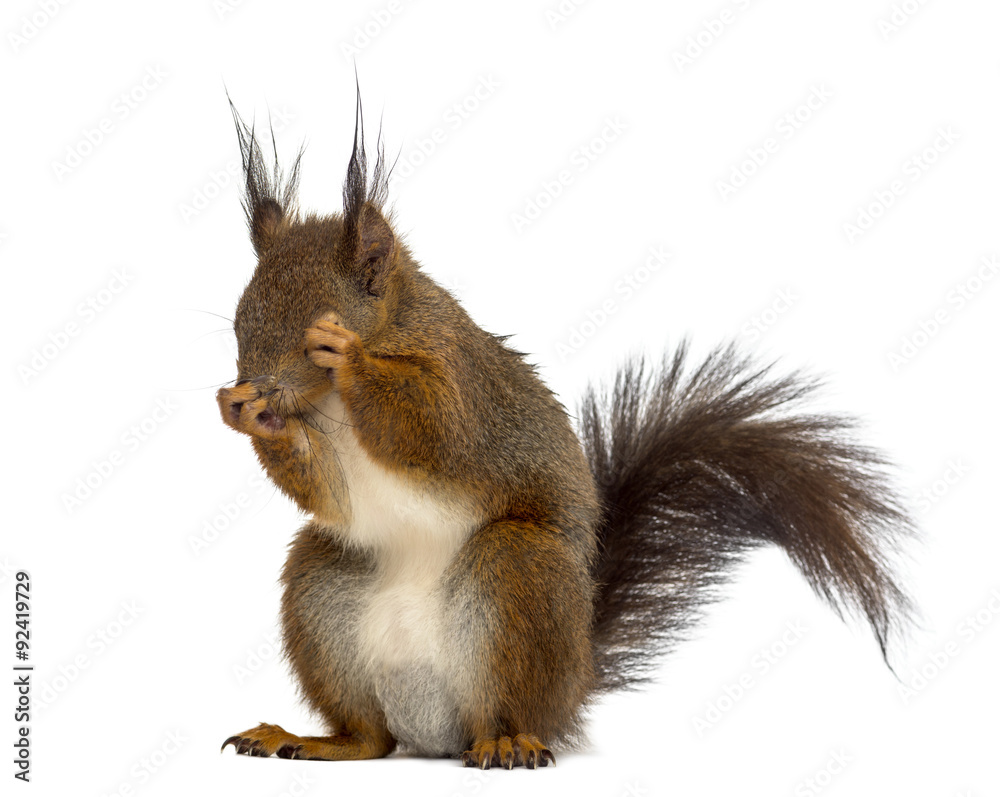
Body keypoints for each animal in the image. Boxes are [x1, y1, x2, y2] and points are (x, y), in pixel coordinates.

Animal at [216, 92, 914, 769]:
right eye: (240, 321)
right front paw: (246, 414)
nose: (250, 386)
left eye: (314, 329)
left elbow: (433, 426)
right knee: (372, 737)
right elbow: (328, 491)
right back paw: (315, 740)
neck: (332, 403)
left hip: (520, 573)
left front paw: (350, 355)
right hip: (323, 588)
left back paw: (507, 742)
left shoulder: (464, 381)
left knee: (502, 705)